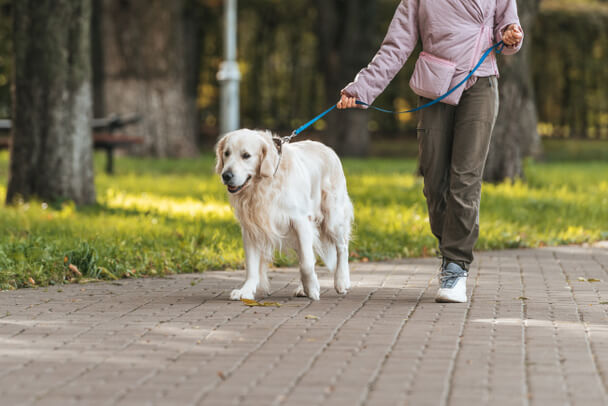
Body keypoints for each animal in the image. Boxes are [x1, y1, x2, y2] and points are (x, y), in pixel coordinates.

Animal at [216, 128, 354, 300]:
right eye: (226, 153)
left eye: (246, 155)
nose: (226, 175)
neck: (263, 184)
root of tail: (328, 149)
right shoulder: (251, 228)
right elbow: (252, 266)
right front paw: (246, 290)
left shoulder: (300, 220)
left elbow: (306, 263)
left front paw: (312, 289)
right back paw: (303, 288)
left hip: (332, 217)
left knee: (342, 247)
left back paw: (341, 281)